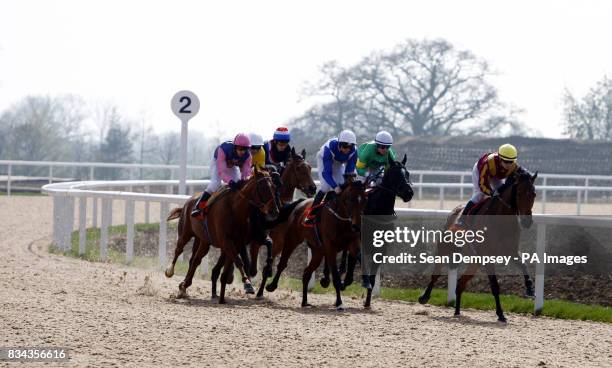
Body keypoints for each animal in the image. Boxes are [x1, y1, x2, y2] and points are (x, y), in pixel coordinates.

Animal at [170, 168, 280, 304]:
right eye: (263, 187)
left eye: (274, 187)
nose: (274, 211)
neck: (235, 209)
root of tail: (188, 201)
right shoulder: (227, 241)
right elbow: (239, 261)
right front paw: (247, 283)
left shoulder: (238, 242)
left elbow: (231, 264)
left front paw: (223, 296)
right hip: (185, 233)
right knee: (179, 250)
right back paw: (170, 272)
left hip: (204, 241)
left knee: (195, 260)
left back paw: (185, 286)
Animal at [418, 168, 536, 320]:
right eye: (520, 193)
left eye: (534, 194)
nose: (527, 221)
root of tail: (454, 211)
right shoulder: (488, 256)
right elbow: (495, 286)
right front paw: (500, 314)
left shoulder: (511, 251)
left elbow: (524, 266)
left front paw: (529, 288)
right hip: (444, 250)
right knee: (436, 274)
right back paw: (424, 297)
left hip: (475, 262)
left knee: (460, 283)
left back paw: (457, 311)